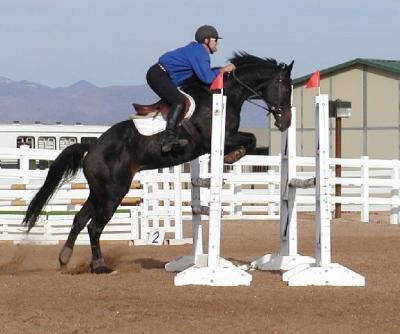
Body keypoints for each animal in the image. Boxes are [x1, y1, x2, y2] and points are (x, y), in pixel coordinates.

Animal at [21, 51, 292, 272]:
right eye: (285, 87)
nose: (286, 121)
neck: (224, 95)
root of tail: (93, 146)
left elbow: (250, 139)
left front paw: (232, 157)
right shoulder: (217, 138)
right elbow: (250, 139)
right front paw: (232, 156)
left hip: (99, 191)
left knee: (80, 219)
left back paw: (65, 259)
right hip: (114, 192)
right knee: (95, 226)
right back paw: (100, 267)